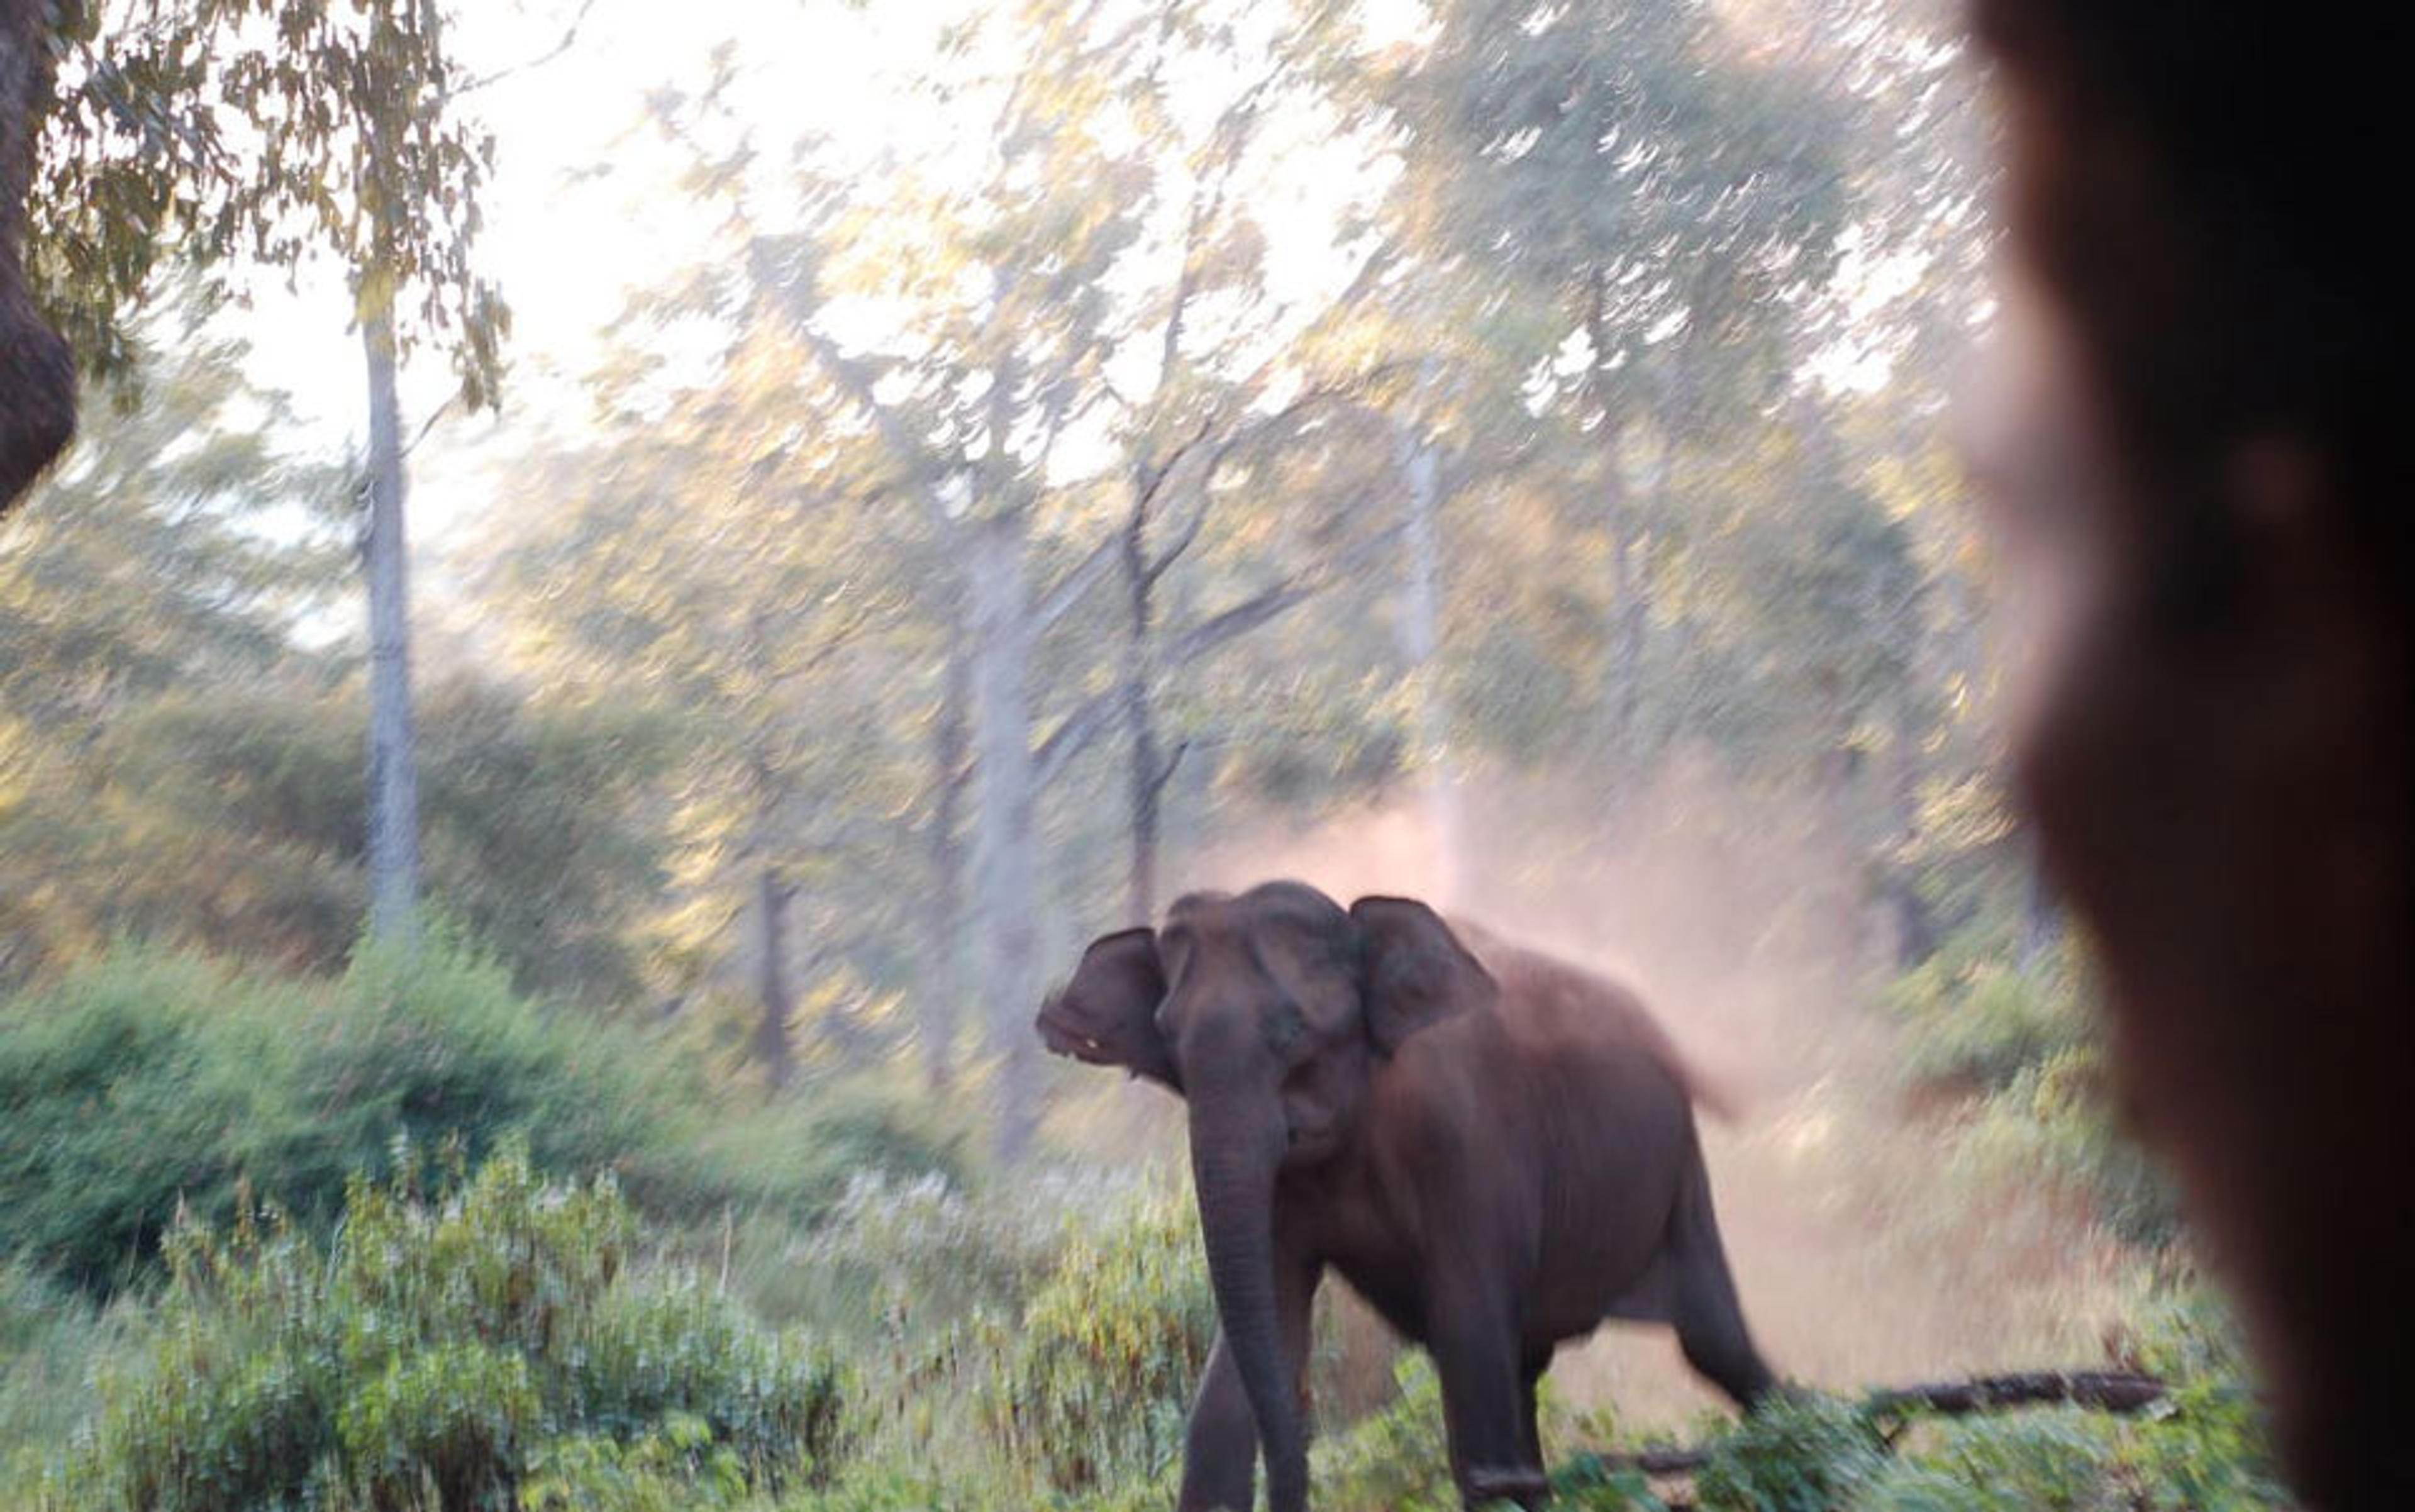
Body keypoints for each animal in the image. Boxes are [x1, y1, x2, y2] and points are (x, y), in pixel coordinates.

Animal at [1033, 879, 1777, 1497]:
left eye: (1291, 1031)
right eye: (1167, 1038)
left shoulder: (1468, 1145)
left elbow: (1469, 1337)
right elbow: (1237, 1374)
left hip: (1680, 1174)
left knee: (1714, 1344)